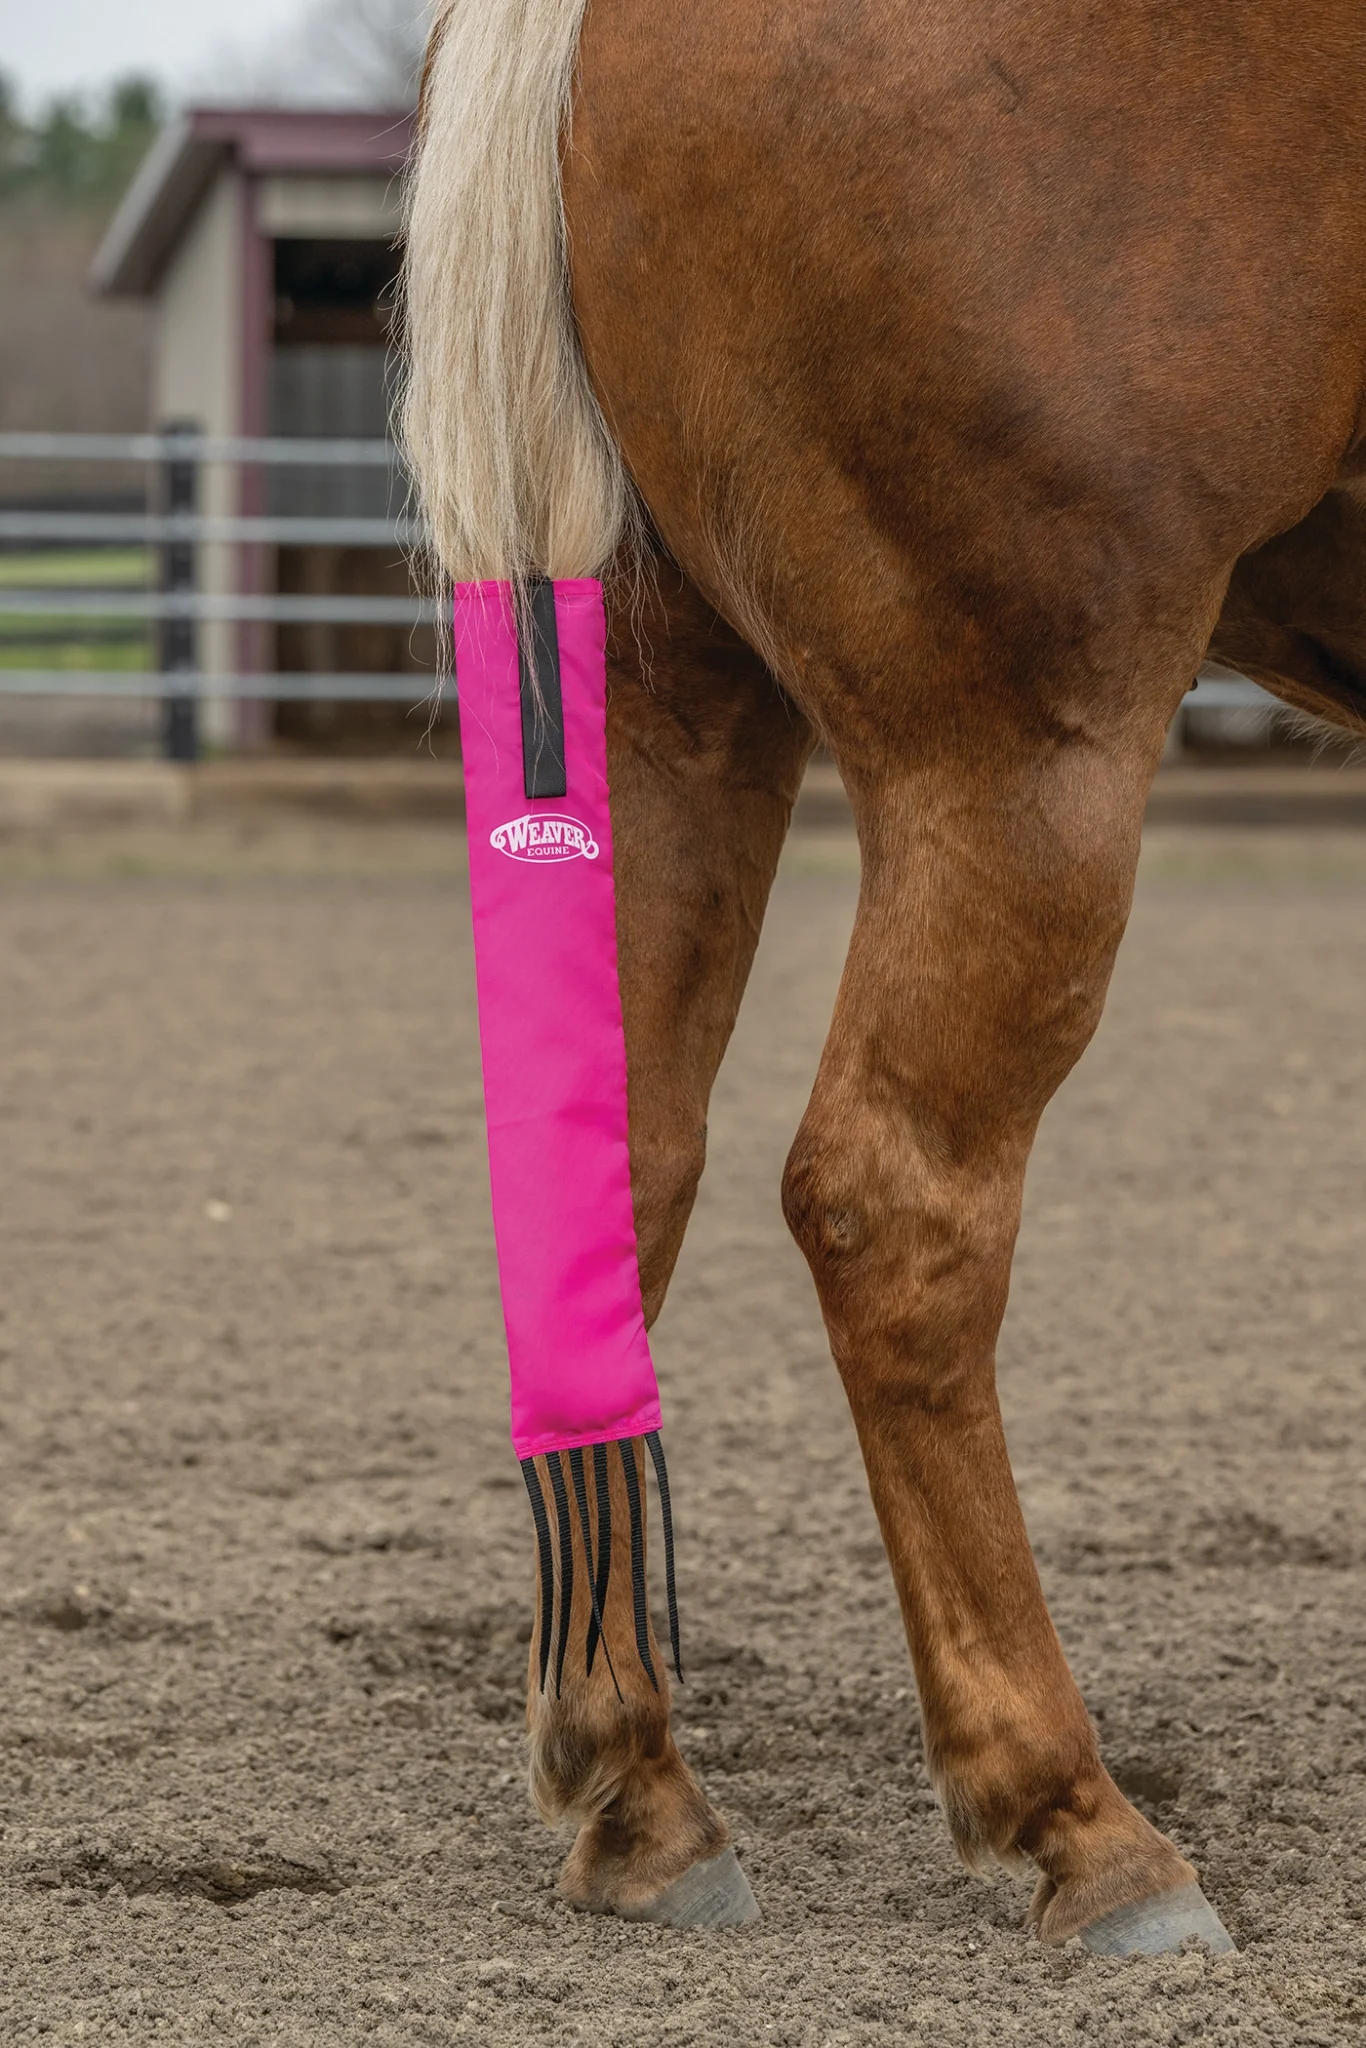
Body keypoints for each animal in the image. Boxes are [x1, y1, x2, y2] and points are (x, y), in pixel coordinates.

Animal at [401, 0, 1366, 1950]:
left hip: (671, 697)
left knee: (619, 1162)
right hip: (1018, 746)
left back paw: (639, 1789)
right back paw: (1076, 1819)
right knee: (892, 1201)